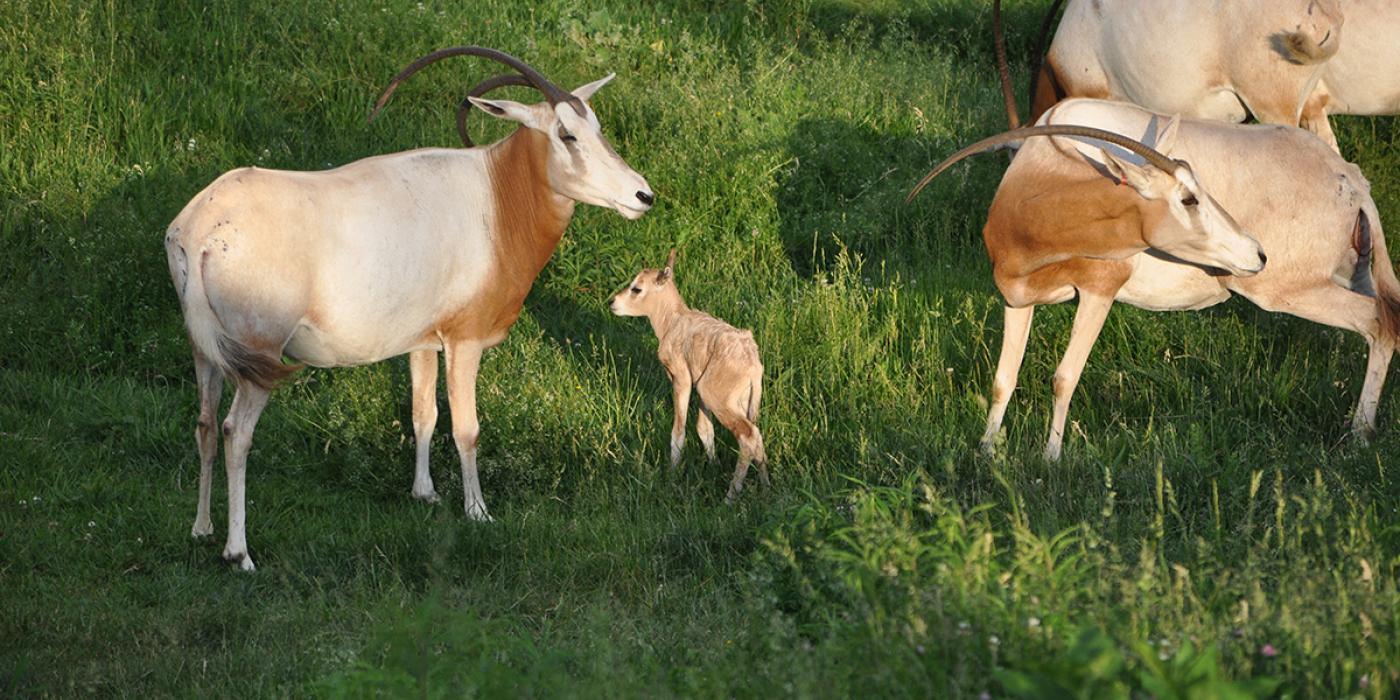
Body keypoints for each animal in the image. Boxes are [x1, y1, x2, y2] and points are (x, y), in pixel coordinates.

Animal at [610, 253, 772, 504]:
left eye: (636, 288)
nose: (612, 303)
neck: (672, 321)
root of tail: (752, 362)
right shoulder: (698, 386)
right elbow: (705, 429)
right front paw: (713, 466)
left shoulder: (681, 379)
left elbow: (679, 431)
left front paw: (671, 476)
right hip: (739, 398)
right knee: (757, 436)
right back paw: (766, 489)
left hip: (717, 396)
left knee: (748, 436)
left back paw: (730, 497)